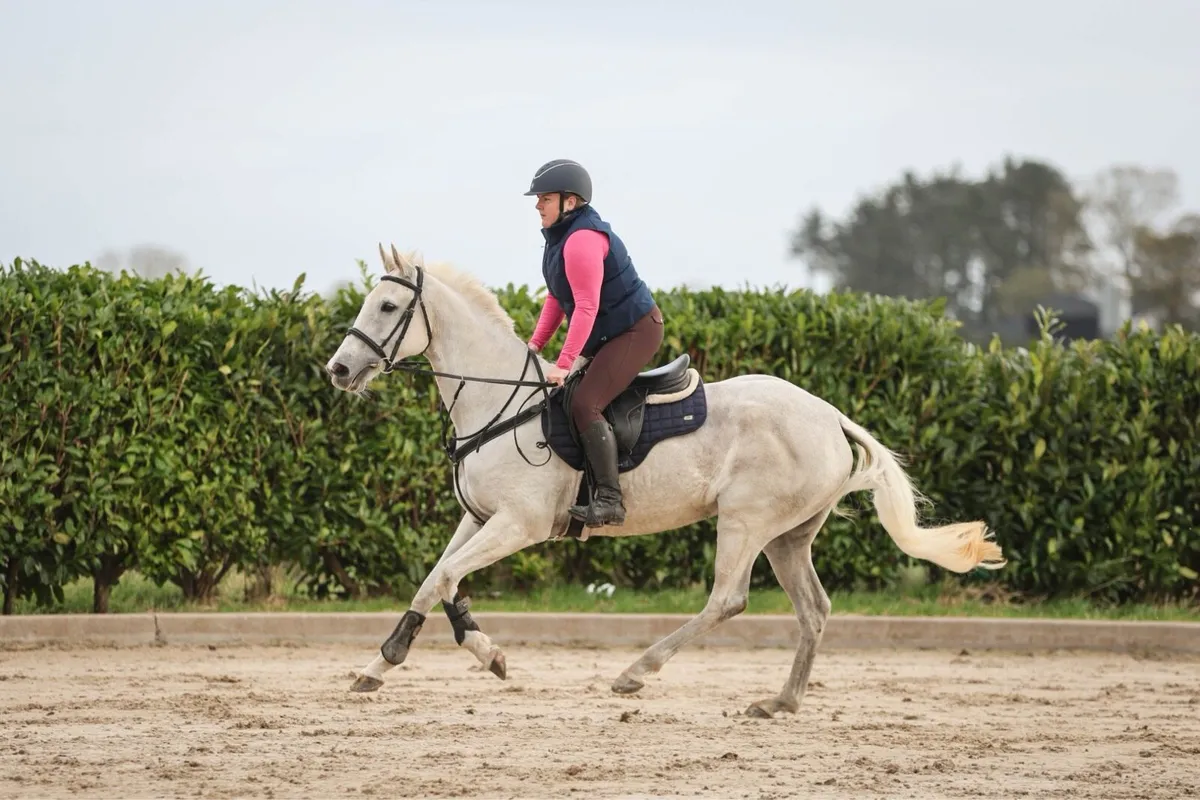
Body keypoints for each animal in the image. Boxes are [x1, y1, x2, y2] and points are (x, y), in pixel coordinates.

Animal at [323, 245, 1005, 718]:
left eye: (387, 307)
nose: (338, 370)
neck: (501, 404)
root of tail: (832, 415)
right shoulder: (481, 517)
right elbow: (437, 577)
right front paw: (394, 661)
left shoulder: (520, 524)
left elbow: (445, 577)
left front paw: (466, 652)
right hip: (789, 536)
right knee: (813, 609)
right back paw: (779, 702)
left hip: (747, 521)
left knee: (728, 599)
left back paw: (636, 671)